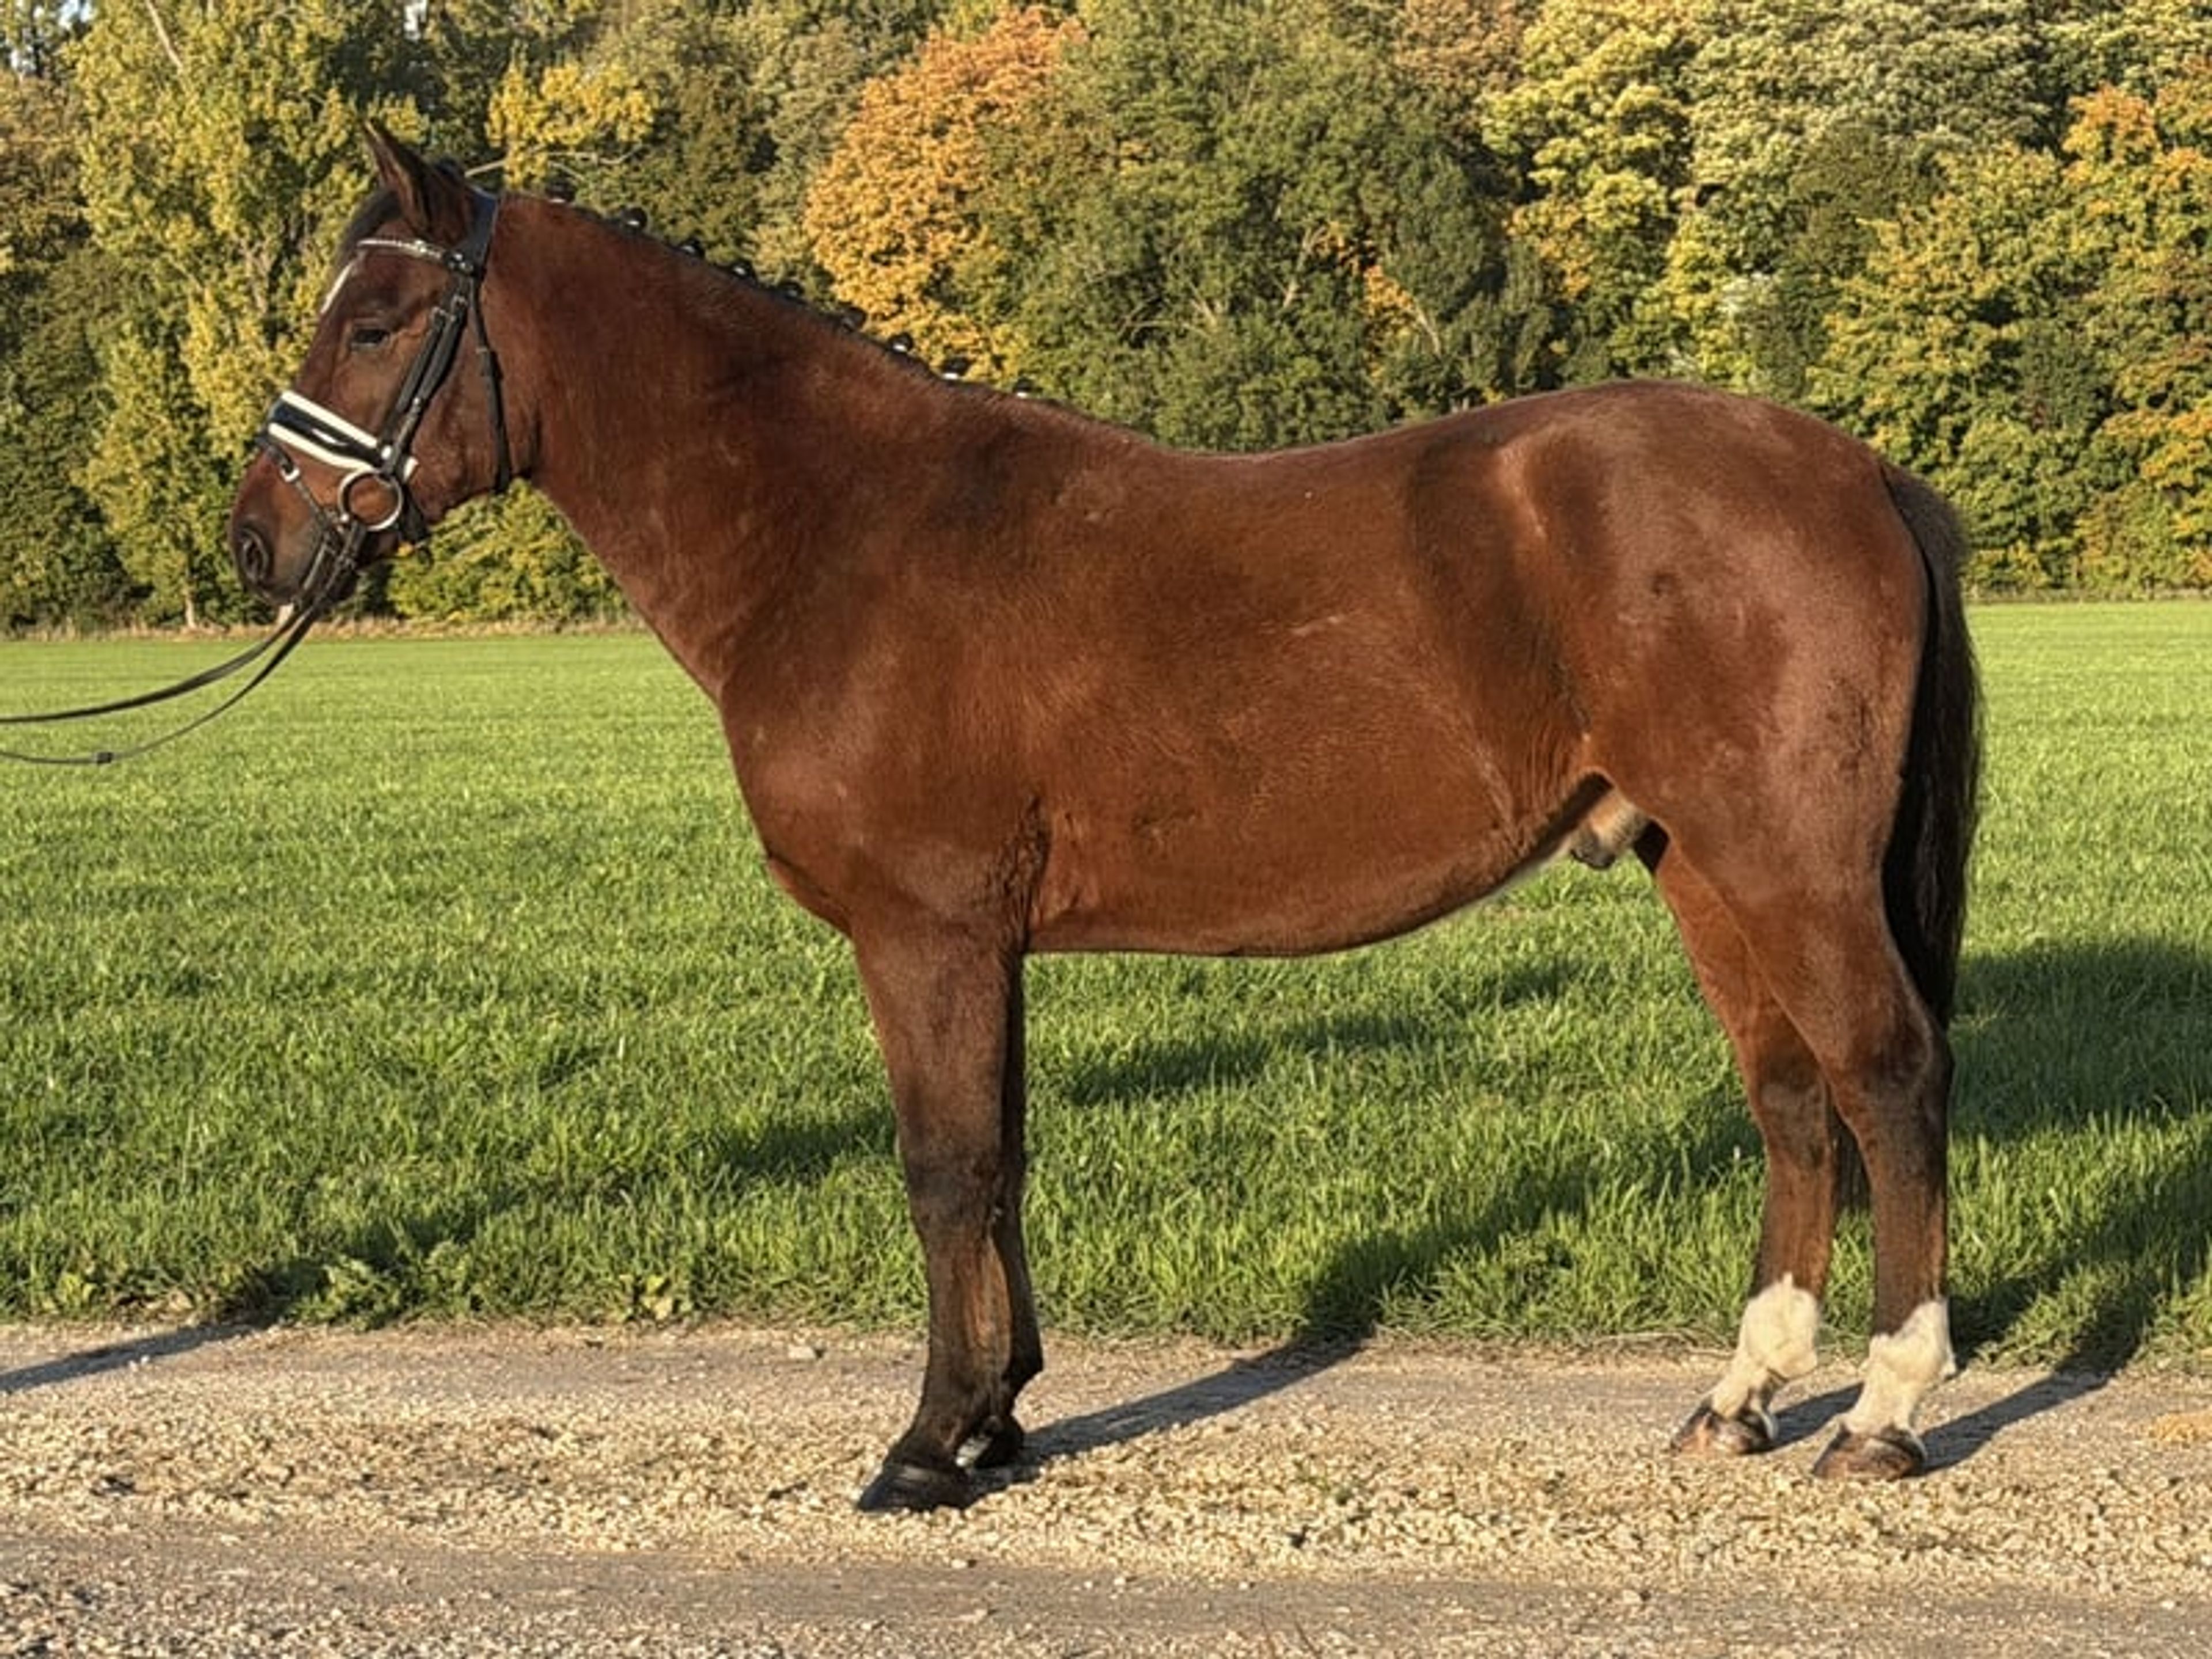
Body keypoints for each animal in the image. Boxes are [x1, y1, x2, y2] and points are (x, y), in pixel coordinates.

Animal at [227, 127, 1979, 1513]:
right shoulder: (980, 941)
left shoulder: (922, 931)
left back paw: (1884, 1414)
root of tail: (1855, 471)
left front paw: (926, 1445)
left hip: (1788, 869)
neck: (843, 534)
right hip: (1704, 870)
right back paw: (1740, 1401)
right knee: (1792, 1101)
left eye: (374, 321)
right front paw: (998, 1418)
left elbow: (942, 1166)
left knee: (1886, 1080)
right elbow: (999, 1156)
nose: (256, 543)